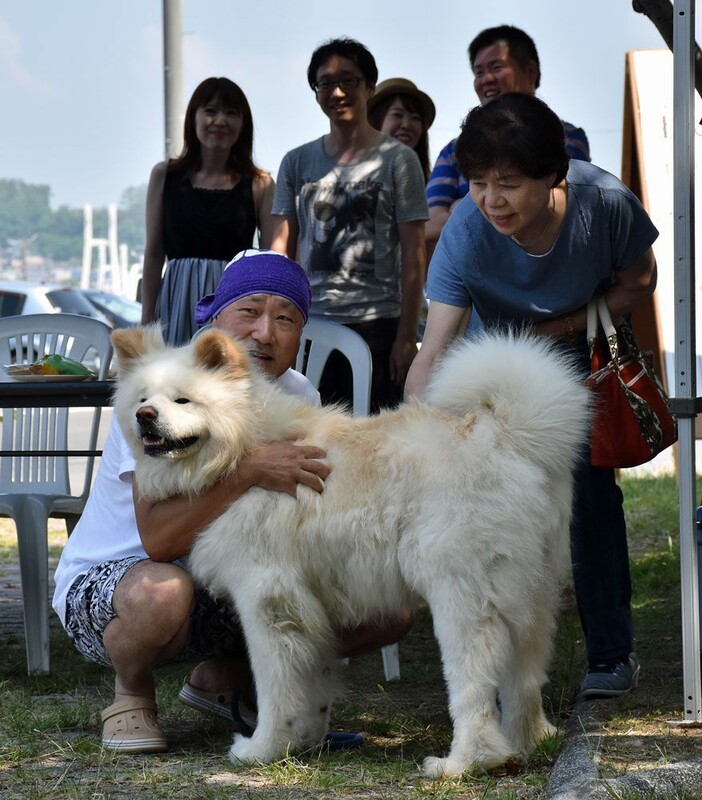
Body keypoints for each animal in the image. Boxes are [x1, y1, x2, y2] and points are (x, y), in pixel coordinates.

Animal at [113, 324, 592, 776]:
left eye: (183, 400)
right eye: (143, 398)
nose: (145, 415)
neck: (243, 452)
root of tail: (504, 434)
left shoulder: (267, 601)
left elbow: (275, 689)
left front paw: (263, 749)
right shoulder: (308, 610)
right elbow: (313, 685)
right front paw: (304, 741)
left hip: (463, 599)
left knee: (475, 687)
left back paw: (464, 763)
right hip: (532, 594)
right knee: (525, 679)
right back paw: (527, 743)